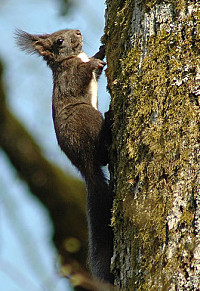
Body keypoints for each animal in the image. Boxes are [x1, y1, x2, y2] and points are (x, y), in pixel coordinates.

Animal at [15, 28, 114, 284]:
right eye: (59, 40)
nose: (78, 31)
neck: (74, 57)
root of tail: (83, 164)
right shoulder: (68, 77)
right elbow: (80, 76)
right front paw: (93, 62)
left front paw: (101, 50)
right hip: (86, 116)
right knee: (102, 156)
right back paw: (109, 124)